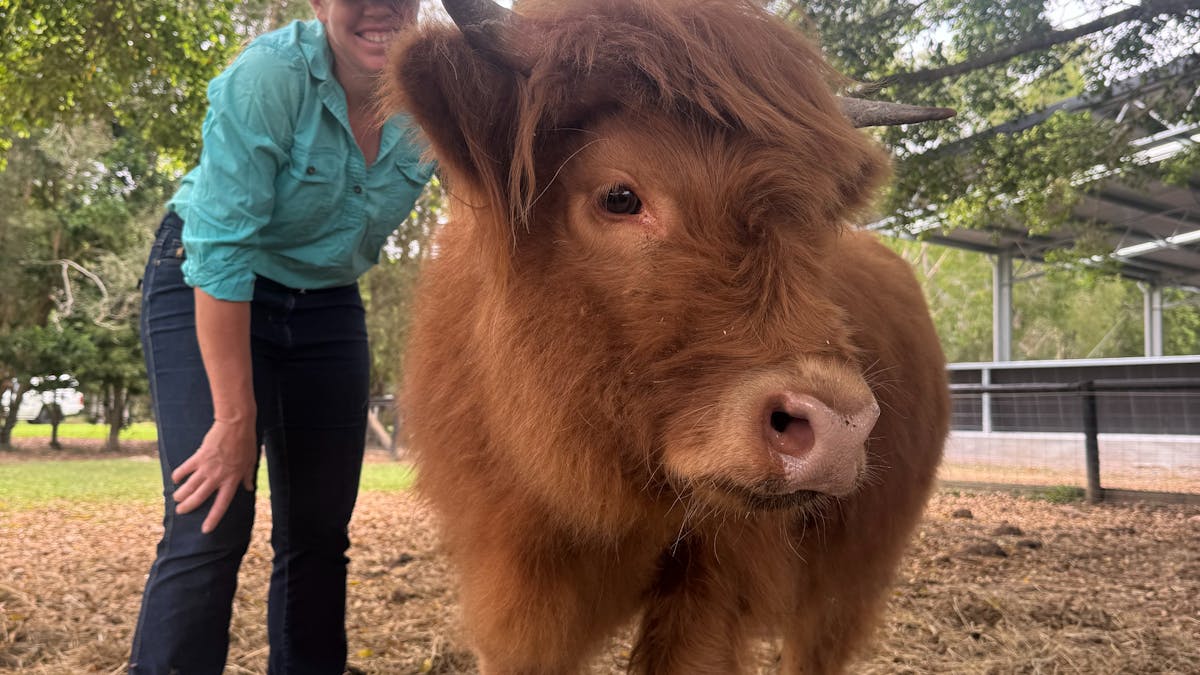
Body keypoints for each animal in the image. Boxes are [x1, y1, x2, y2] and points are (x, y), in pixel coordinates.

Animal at [385, 0, 952, 672]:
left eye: (815, 221)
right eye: (619, 196)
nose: (838, 428)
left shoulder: (714, 584)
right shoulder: (510, 585)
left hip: (849, 579)